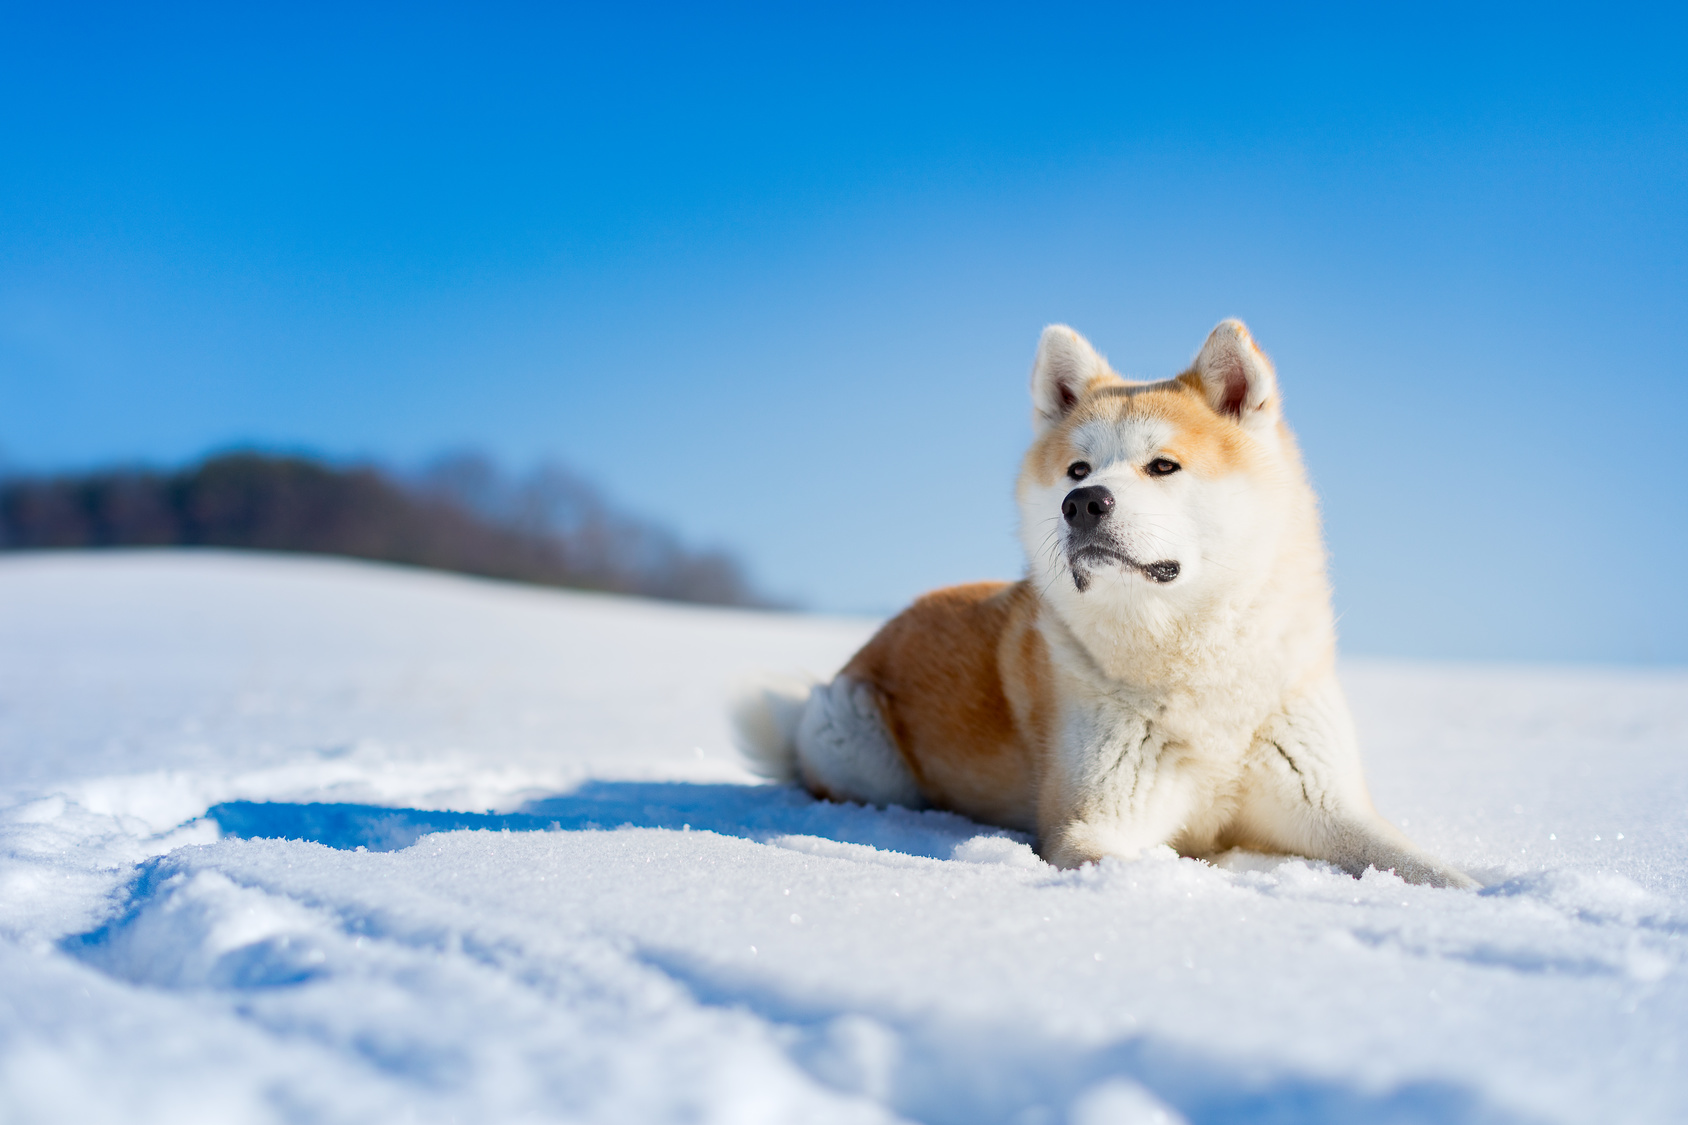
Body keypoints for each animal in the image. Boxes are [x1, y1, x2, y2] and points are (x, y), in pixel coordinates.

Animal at [732, 317, 1471, 885]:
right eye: (1077, 470)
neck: (1194, 658)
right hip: (855, 743)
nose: (1082, 503)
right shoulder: (1093, 823)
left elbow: (1424, 865)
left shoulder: (1328, 806)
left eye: (1164, 465)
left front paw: (1482, 894)